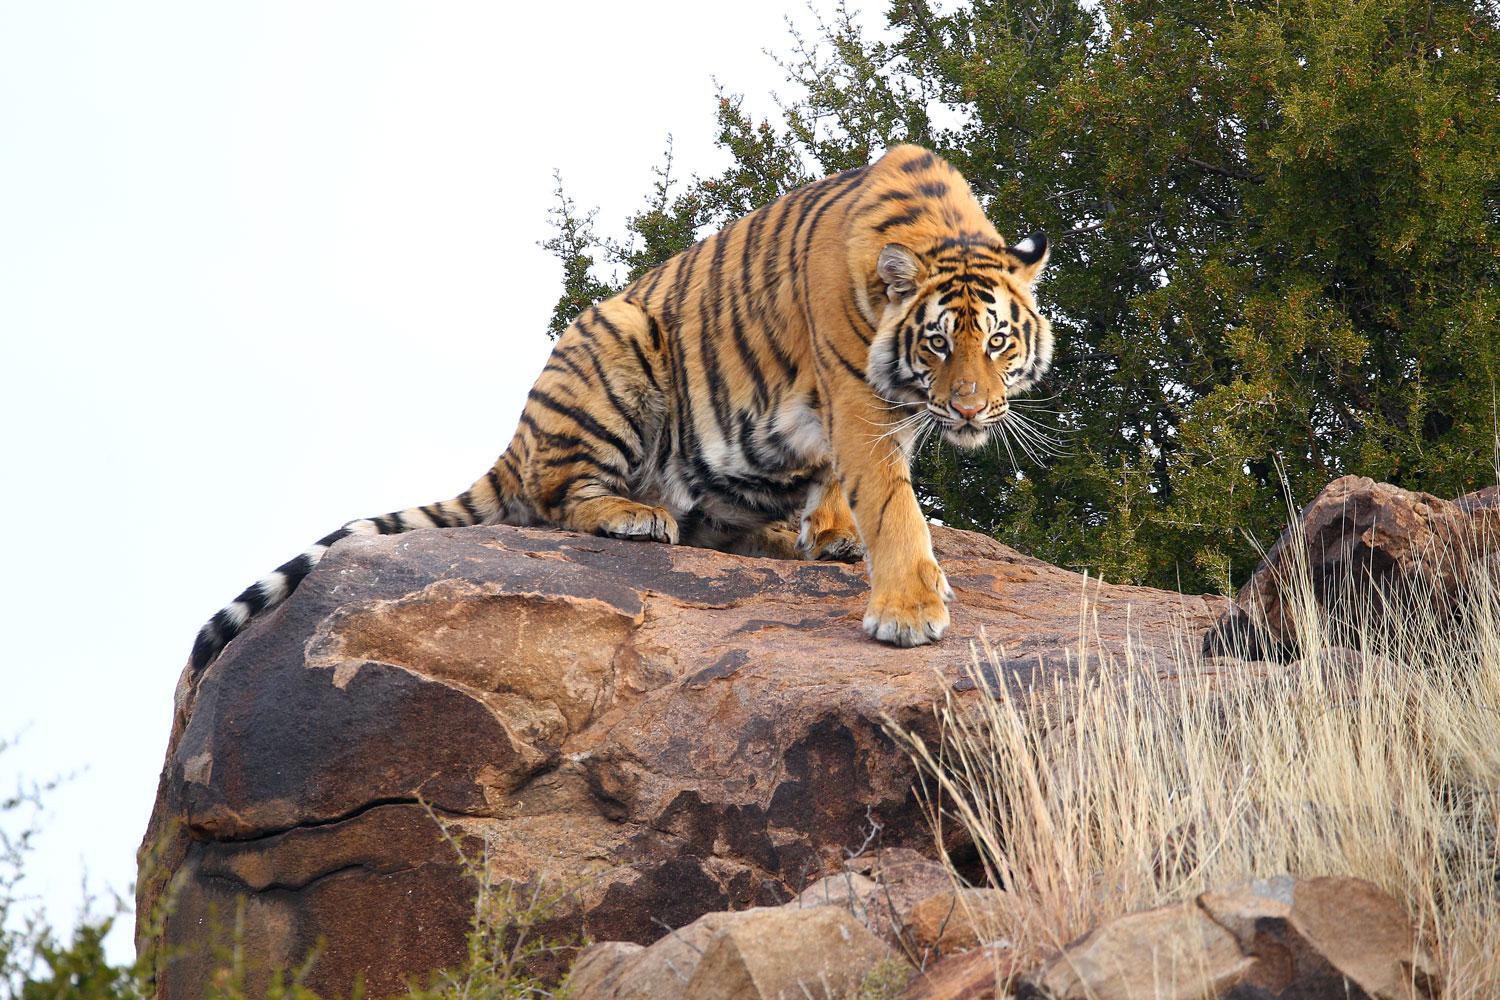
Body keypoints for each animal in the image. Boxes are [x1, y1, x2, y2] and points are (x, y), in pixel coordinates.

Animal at [190, 142, 1056, 671]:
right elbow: (894, 506)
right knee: (557, 497)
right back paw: (635, 517)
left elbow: (847, 490)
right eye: (938, 344)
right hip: (618, 342)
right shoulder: (859, 402)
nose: (971, 412)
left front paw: (838, 536)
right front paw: (909, 611)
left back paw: (772, 535)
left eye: (998, 343)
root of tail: (516, 440)